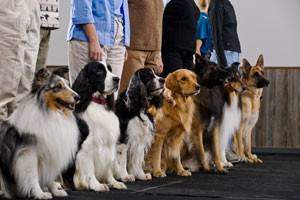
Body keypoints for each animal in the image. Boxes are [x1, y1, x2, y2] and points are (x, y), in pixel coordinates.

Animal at [71, 61, 127, 192]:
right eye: (99, 71)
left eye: (110, 69)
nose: (117, 79)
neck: (98, 104)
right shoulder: (86, 148)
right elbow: (89, 169)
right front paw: (96, 185)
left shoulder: (109, 145)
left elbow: (108, 167)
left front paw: (114, 182)